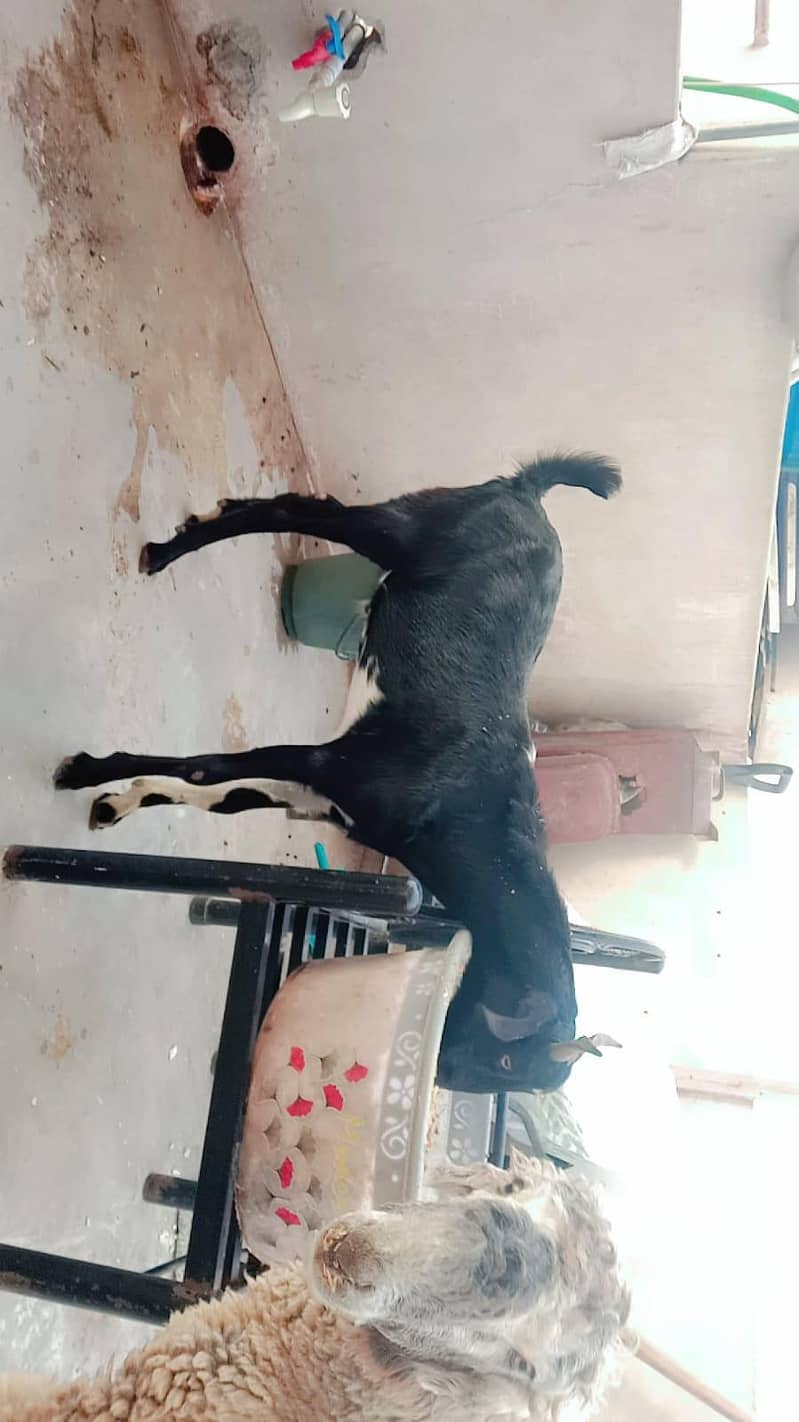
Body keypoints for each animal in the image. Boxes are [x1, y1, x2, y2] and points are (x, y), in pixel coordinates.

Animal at [54, 454, 621, 1092]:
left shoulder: (313, 793)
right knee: (301, 509)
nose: (442, 1073)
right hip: (403, 527)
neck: (477, 817)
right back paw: (165, 551)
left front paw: (117, 801)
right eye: (506, 1060)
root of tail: (528, 491)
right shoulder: (324, 762)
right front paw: (88, 771)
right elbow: (204, 769)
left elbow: (216, 794)